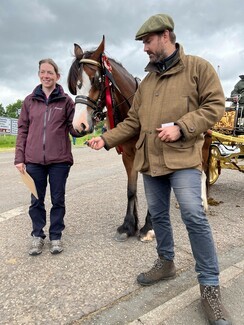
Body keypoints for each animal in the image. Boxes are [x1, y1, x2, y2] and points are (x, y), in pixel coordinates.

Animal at [67, 36, 153, 242]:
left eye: (96, 80)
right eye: (77, 83)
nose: (78, 125)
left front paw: (148, 226)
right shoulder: (129, 155)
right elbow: (131, 190)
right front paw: (129, 225)